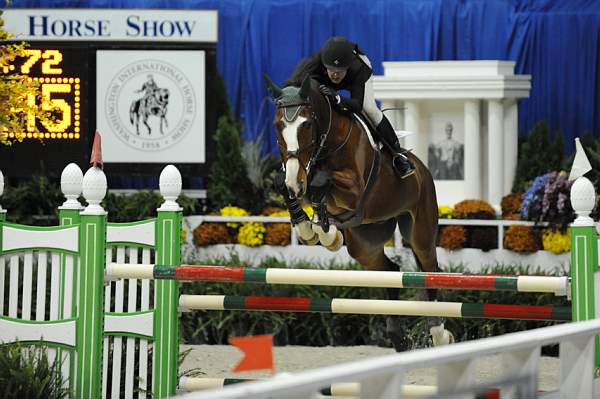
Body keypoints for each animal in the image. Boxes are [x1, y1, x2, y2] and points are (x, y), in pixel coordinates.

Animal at [264, 74, 452, 350]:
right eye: (277, 125)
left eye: (306, 125)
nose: (295, 184)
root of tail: (423, 170)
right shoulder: (298, 177)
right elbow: (286, 183)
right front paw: (310, 227)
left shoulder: (353, 190)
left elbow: (321, 180)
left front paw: (324, 231)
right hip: (364, 243)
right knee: (390, 271)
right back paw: (397, 335)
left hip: (420, 232)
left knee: (430, 271)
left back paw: (439, 334)